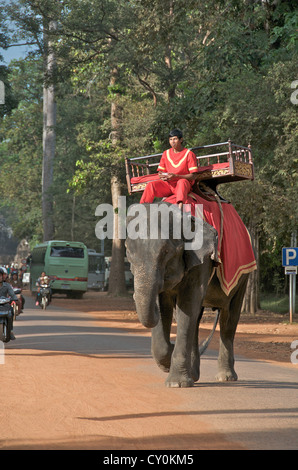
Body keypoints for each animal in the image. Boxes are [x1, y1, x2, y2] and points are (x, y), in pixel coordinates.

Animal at [124, 203, 250, 390]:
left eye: (166, 251)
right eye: (127, 250)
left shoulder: (202, 260)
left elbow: (188, 304)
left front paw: (177, 383)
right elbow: (172, 310)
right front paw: (168, 361)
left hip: (243, 275)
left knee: (229, 318)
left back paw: (225, 377)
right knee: (197, 321)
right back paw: (194, 374)